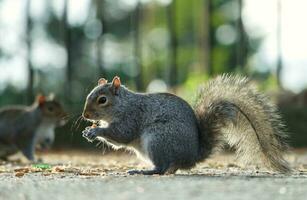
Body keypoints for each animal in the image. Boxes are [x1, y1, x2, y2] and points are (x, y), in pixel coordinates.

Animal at [82, 75, 292, 175]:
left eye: (102, 100)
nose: (85, 115)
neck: (124, 104)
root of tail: (192, 156)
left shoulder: (132, 117)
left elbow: (122, 134)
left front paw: (96, 130)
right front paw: (88, 130)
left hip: (158, 139)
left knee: (162, 168)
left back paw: (143, 171)